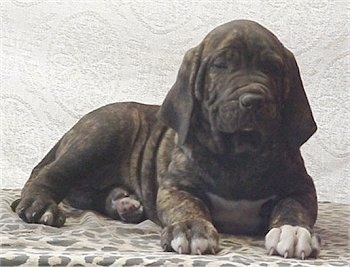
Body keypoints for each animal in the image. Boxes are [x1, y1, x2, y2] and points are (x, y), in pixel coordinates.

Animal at [13, 20, 320, 260]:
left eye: (274, 68)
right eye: (221, 65)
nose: (253, 100)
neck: (238, 153)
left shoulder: (302, 187)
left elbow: (293, 206)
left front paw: (292, 231)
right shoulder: (176, 186)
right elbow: (186, 205)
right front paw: (190, 228)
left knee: (86, 192)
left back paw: (123, 203)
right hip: (104, 133)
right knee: (50, 174)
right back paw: (40, 205)